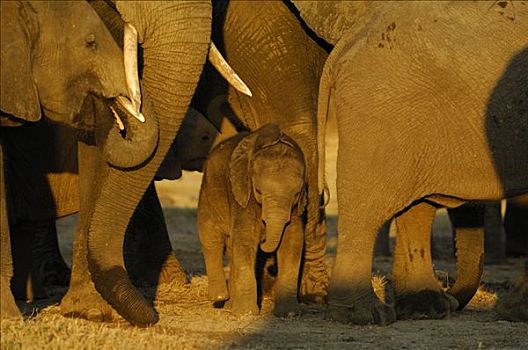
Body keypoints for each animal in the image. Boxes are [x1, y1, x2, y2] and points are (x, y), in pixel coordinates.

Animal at [197, 123, 306, 318]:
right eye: (258, 191)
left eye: (296, 194)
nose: (264, 238)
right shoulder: (241, 193)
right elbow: (246, 237)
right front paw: (246, 314)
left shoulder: (295, 207)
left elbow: (293, 239)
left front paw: (289, 314)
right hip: (208, 190)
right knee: (211, 237)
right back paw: (220, 298)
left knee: (230, 247)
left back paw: (230, 305)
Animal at [292, 1, 528, 324]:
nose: (455, 298)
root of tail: (350, 39)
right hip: (381, 106)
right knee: (368, 204)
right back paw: (366, 315)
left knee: (416, 203)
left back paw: (426, 308)